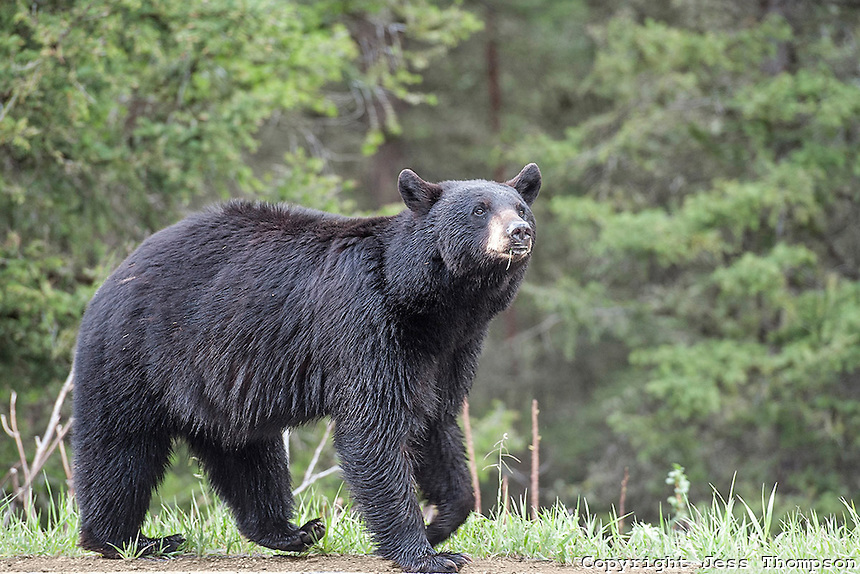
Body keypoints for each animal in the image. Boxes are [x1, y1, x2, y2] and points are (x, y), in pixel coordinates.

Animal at [75, 164, 544, 572]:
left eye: (520, 208)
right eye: (479, 209)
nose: (518, 232)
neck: (428, 302)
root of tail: (112, 276)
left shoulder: (450, 350)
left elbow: (435, 422)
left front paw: (440, 525)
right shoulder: (366, 325)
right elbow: (374, 430)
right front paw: (425, 554)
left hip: (218, 381)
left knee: (246, 454)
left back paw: (291, 531)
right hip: (136, 355)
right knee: (121, 446)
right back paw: (130, 540)